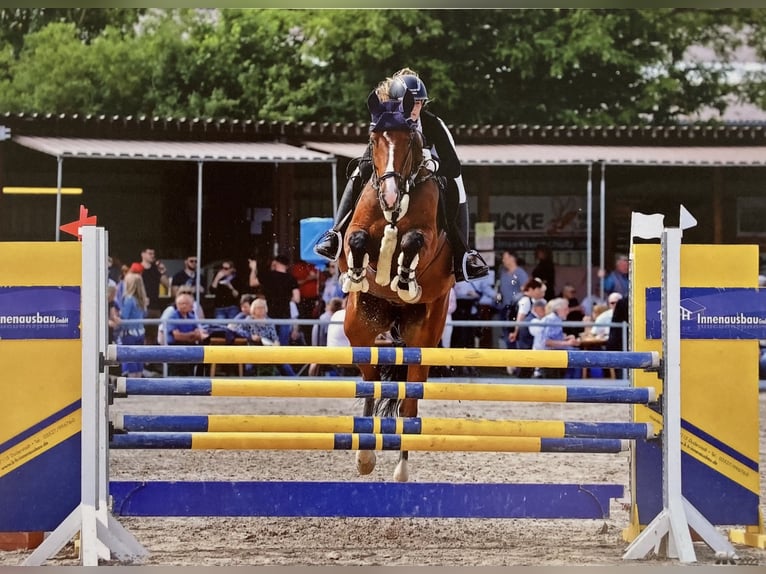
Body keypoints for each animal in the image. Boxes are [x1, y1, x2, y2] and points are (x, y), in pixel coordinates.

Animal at [337, 88, 454, 482]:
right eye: (374, 139)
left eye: (410, 141)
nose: (389, 196)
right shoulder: (356, 232)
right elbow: (356, 240)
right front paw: (358, 274)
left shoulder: (431, 240)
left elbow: (413, 241)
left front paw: (403, 279)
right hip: (358, 326)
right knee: (372, 380)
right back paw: (364, 456)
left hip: (423, 339)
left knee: (411, 403)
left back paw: (400, 469)